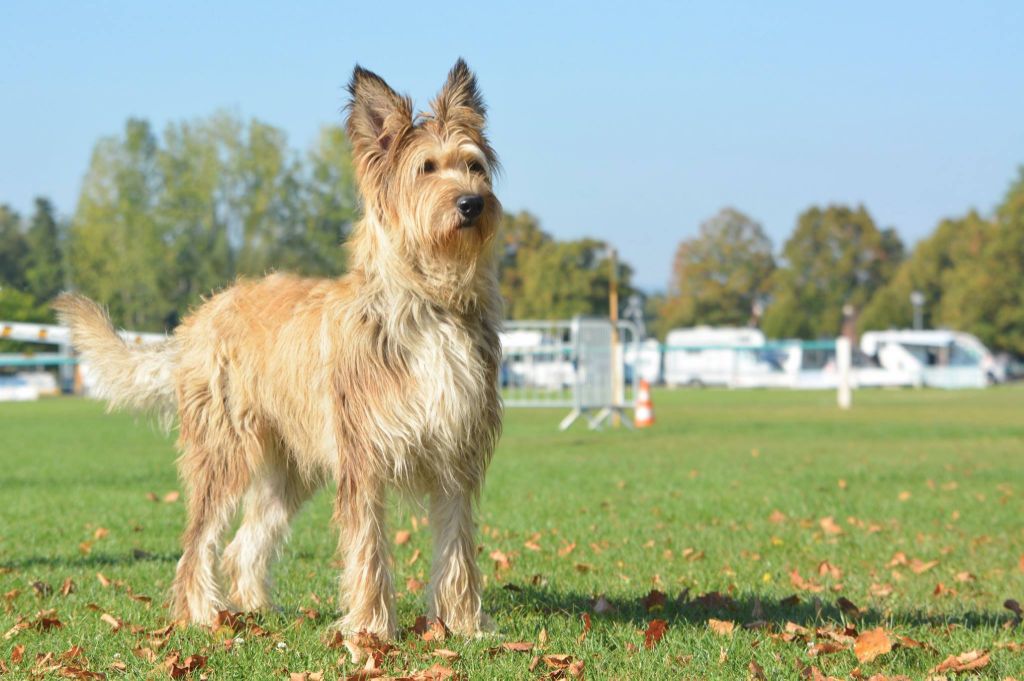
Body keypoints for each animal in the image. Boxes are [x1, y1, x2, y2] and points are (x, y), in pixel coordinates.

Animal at [56, 59, 503, 639]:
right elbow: (369, 549)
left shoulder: (456, 456)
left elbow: (457, 549)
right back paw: (202, 615)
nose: (473, 203)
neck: (430, 304)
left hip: (288, 471)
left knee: (245, 543)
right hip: (223, 455)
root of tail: (197, 319)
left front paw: (464, 627)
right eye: (427, 168)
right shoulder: (364, 460)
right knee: (198, 542)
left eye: (473, 166)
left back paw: (251, 608)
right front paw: (372, 631)